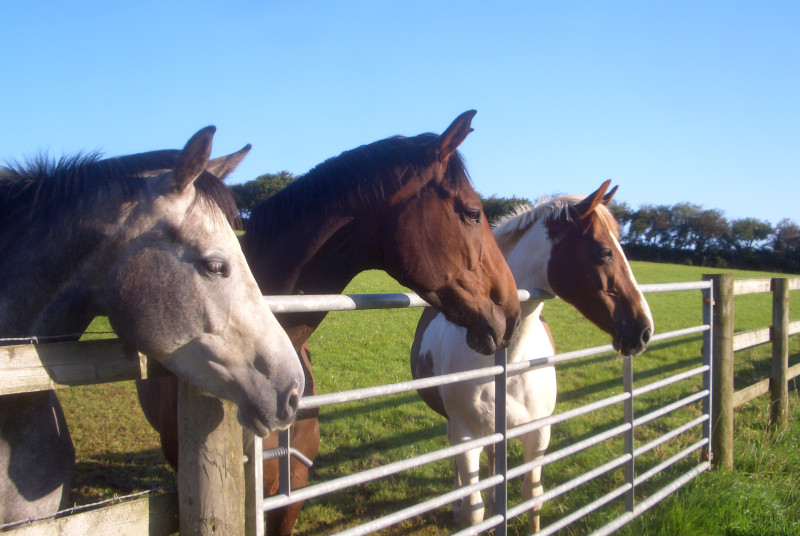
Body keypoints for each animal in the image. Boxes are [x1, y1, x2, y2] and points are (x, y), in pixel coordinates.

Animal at [410, 180, 654, 533]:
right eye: (604, 252)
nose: (644, 330)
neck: (510, 361)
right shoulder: (466, 433)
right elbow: (474, 510)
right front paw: (469, 512)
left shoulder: (538, 433)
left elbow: (532, 496)